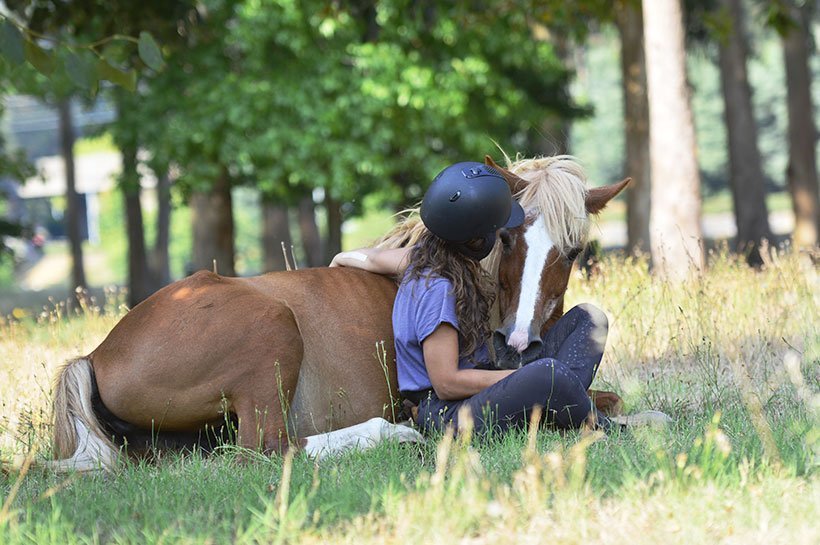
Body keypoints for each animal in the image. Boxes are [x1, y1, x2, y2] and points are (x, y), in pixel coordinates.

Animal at [44, 154, 628, 472]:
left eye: (573, 250)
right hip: (270, 331)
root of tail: (96, 356)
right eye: (507, 239)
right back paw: (392, 435)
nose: (519, 342)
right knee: (267, 449)